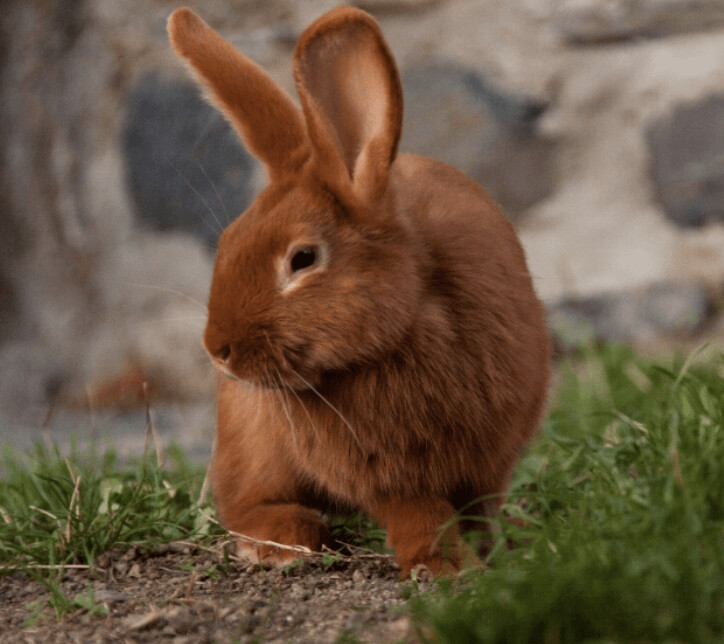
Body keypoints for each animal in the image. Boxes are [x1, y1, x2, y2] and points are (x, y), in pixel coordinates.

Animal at [168, 6, 551, 578]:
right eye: (228, 241)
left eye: (303, 259)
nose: (218, 350)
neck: (405, 329)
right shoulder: (384, 476)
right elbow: (417, 513)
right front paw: (440, 566)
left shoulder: (491, 461)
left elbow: (479, 509)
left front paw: (485, 556)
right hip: (252, 436)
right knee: (242, 501)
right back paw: (285, 539)